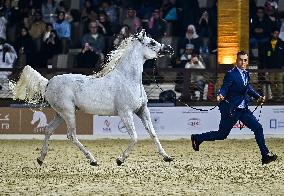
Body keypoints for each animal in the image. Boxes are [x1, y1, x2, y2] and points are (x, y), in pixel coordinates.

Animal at [11, 29, 173, 166]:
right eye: (151, 42)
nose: (170, 48)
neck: (128, 80)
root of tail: (48, 83)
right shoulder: (125, 113)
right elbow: (134, 137)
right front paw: (119, 160)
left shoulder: (142, 110)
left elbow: (153, 134)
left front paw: (167, 157)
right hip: (68, 112)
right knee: (71, 135)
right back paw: (92, 160)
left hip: (61, 114)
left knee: (49, 130)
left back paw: (41, 158)